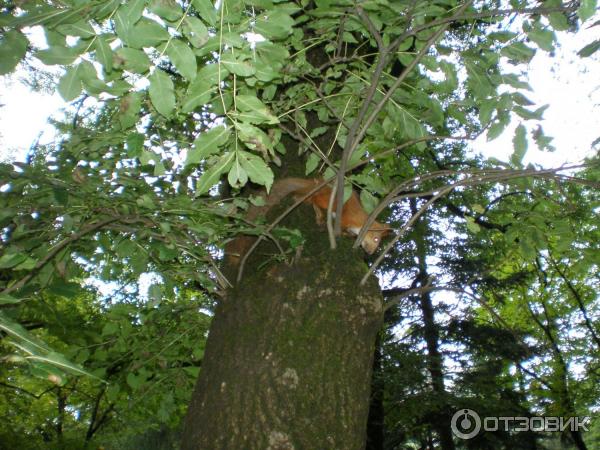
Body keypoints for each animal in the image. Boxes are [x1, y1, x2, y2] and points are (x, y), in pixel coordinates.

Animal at [227, 178, 392, 266]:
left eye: (378, 242)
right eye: (375, 238)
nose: (370, 253)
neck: (359, 223)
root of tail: (317, 184)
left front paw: (347, 236)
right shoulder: (347, 217)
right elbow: (340, 226)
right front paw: (336, 231)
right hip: (326, 199)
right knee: (313, 199)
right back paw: (317, 213)